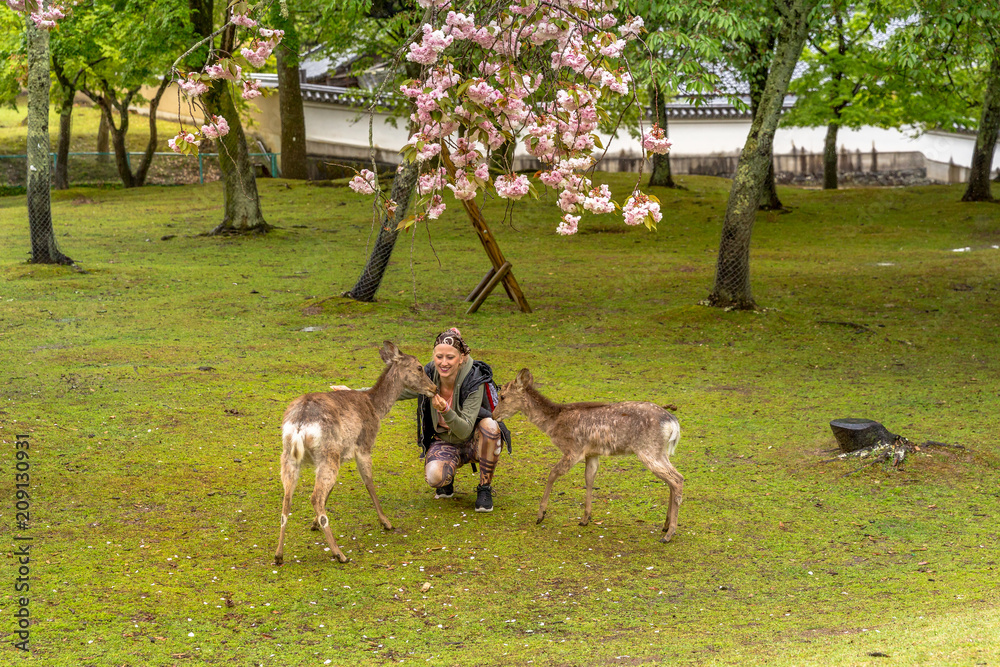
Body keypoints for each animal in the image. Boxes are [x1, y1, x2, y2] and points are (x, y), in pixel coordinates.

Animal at [274, 341, 437, 565]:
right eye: (420, 367)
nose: (434, 388)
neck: (376, 408)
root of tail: (300, 422)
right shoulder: (364, 445)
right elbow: (369, 482)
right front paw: (386, 522)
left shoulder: (343, 455)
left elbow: (332, 489)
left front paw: (313, 524)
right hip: (328, 452)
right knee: (315, 496)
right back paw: (339, 554)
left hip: (290, 456)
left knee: (287, 498)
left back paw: (278, 555)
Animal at [492, 369, 683, 543]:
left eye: (502, 396)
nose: (494, 415)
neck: (554, 423)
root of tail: (672, 423)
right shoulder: (592, 453)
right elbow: (589, 479)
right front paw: (585, 519)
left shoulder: (573, 449)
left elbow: (552, 473)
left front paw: (540, 515)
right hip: (660, 451)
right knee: (675, 478)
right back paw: (665, 525)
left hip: (647, 449)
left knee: (676, 480)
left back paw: (669, 534)